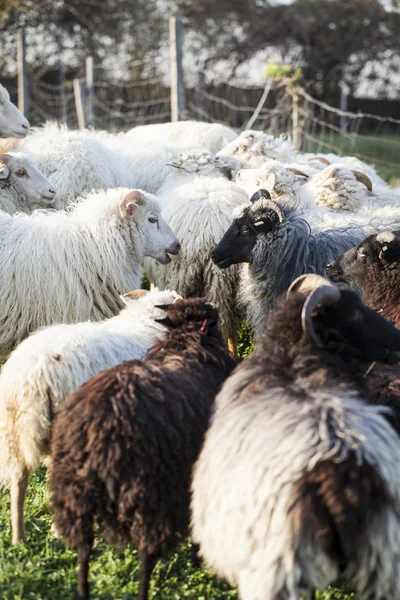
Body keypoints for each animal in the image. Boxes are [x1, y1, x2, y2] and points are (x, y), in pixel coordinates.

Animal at [50, 298, 238, 600]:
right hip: (150, 491)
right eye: (208, 313)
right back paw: (143, 590)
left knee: (83, 547)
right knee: (146, 551)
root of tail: (101, 428)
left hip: (73, 492)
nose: (214, 304)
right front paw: (197, 557)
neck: (186, 344)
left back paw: (82, 590)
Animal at [191, 274, 400, 600]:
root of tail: (341, 474)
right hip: (385, 564)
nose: (398, 340)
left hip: (276, 569)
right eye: (354, 313)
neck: (291, 362)